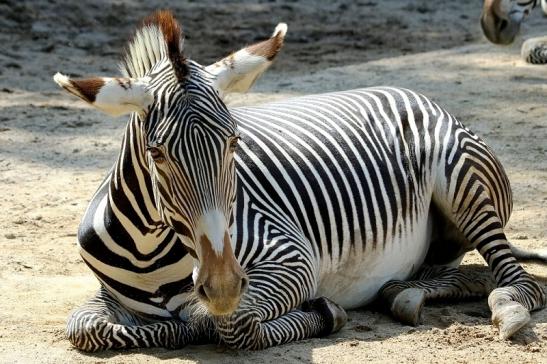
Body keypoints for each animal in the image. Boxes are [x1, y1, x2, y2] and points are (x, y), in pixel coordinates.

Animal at [52, 9, 547, 352]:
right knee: (467, 275)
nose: (223, 286)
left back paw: (505, 307)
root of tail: (412, 92)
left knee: (520, 280)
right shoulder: (108, 295)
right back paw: (403, 294)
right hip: (441, 247)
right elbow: (87, 329)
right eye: (156, 154)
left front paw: (324, 312)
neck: (152, 253)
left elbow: (229, 324)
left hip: (464, 185)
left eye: (234, 141)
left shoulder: (291, 259)